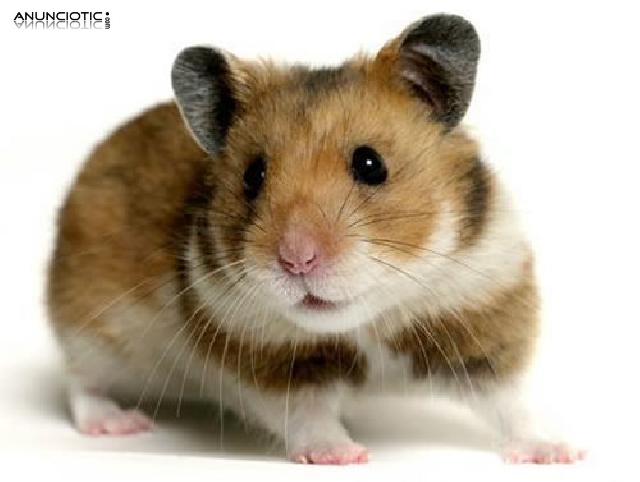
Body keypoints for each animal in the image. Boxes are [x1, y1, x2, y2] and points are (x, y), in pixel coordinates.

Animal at [47, 14, 584, 464]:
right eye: (253, 176)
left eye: (371, 164)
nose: (297, 261)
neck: (368, 321)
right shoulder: (271, 362)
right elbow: (306, 414)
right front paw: (344, 456)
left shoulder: (480, 318)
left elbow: (511, 402)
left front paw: (560, 454)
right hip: (91, 327)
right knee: (80, 383)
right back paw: (119, 424)